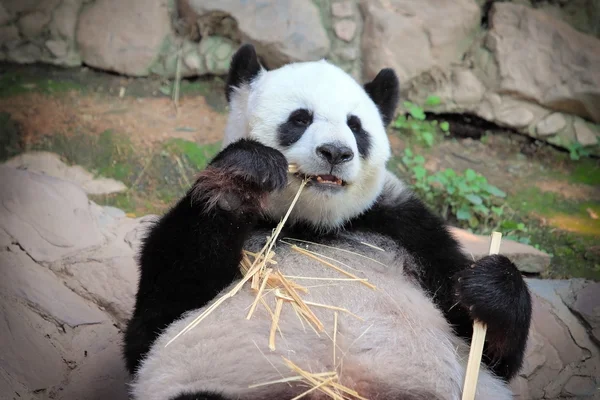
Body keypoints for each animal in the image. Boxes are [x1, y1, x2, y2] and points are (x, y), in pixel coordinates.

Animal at [120, 44, 528, 400]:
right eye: (300, 119)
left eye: (356, 126)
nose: (335, 152)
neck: (312, 224)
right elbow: (153, 323)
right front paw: (245, 175)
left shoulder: (406, 228)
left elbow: (491, 352)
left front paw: (488, 285)